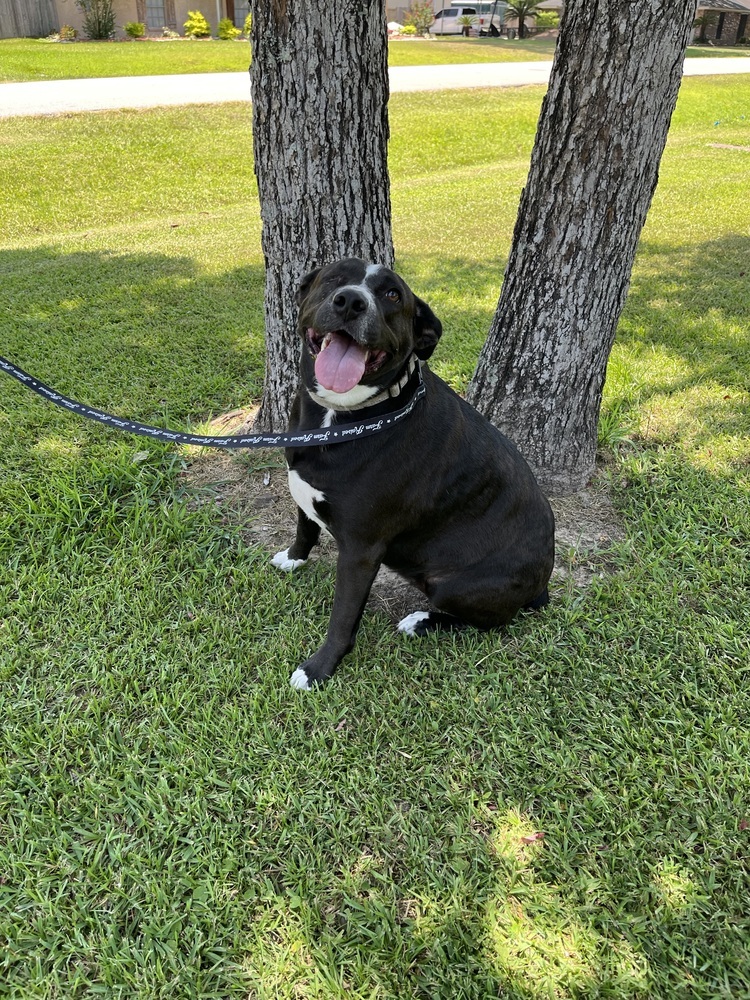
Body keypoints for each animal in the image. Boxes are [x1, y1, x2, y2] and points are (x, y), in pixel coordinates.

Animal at [274, 258, 556, 688]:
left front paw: (318, 669)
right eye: (335, 276)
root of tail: (542, 583)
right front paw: (294, 558)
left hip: (456, 586)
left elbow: (342, 618)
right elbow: (305, 527)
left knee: (490, 622)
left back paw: (422, 621)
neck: (345, 415)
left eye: (393, 295)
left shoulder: (360, 550)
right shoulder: (306, 489)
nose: (351, 302)